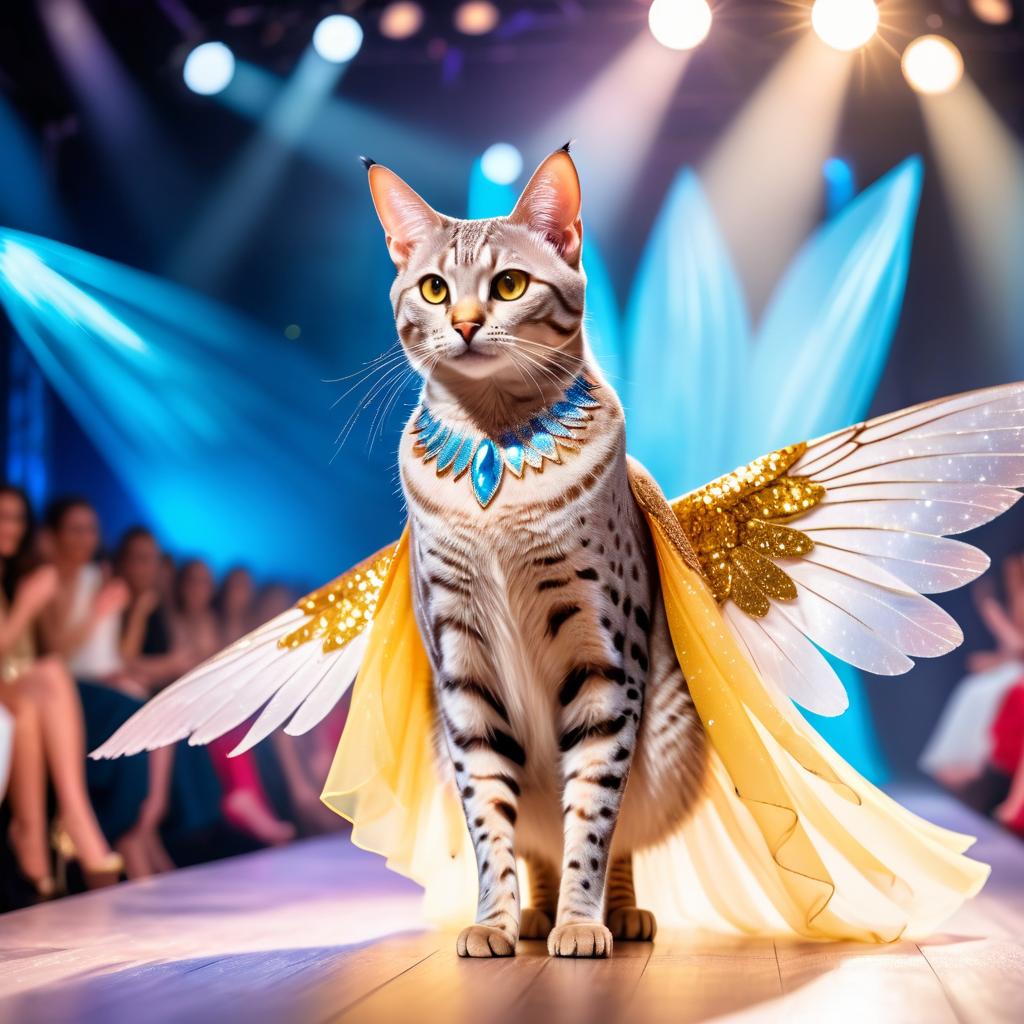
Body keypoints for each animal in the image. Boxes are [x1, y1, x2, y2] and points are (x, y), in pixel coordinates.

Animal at [368, 146, 712, 958]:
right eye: (434, 288)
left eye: (509, 285)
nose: (464, 324)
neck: (495, 442)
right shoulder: (462, 668)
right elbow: (492, 821)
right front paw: (494, 920)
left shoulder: (603, 659)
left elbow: (592, 815)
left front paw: (582, 924)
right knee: (538, 842)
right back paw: (532, 916)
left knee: (618, 833)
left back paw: (616, 915)